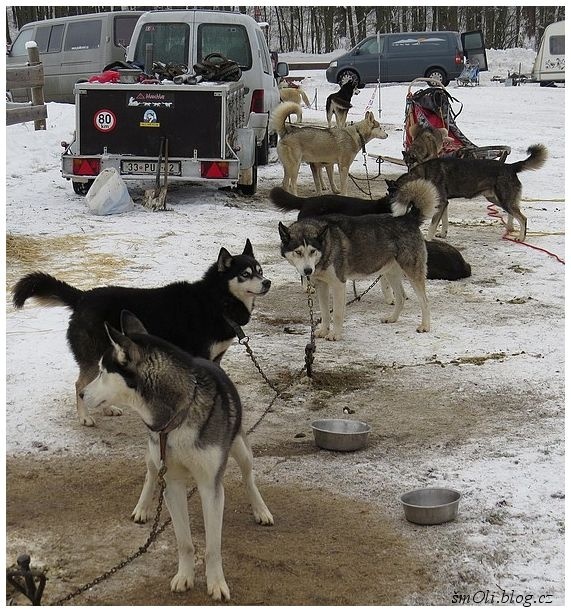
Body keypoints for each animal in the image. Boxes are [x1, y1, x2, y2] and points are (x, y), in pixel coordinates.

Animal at [12, 239, 272, 426]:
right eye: (246, 274)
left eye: (260, 270)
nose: (267, 282)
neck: (216, 301)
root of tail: (83, 296)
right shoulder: (201, 356)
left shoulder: (216, 358)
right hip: (93, 356)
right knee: (80, 386)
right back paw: (85, 417)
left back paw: (107, 407)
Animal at [80, 314, 274, 600]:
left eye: (103, 372)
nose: (81, 394)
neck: (177, 416)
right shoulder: (171, 482)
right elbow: (184, 542)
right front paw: (185, 576)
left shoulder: (210, 486)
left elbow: (213, 546)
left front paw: (216, 583)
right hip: (153, 456)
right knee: (150, 474)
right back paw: (143, 507)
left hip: (240, 447)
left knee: (249, 477)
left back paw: (261, 509)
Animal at [280, 177, 440, 340]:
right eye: (298, 252)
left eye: (312, 251)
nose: (307, 271)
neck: (327, 246)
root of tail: (408, 218)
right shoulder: (322, 285)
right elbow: (325, 313)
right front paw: (324, 331)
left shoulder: (338, 284)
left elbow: (337, 313)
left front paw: (335, 334)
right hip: (391, 272)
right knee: (401, 297)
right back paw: (392, 318)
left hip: (412, 272)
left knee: (425, 301)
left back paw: (425, 326)